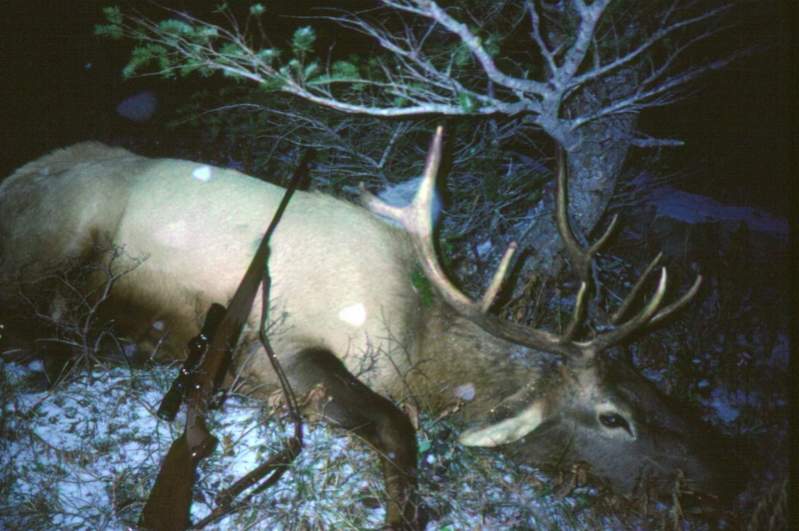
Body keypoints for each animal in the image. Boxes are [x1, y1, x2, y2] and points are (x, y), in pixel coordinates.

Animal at [0, 128, 740, 528]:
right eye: (614, 417)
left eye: (643, 379)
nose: (730, 467)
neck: (417, 344)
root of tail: (16, 178)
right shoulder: (278, 351)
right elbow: (395, 426)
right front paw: (403, 511)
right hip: (62, 237)